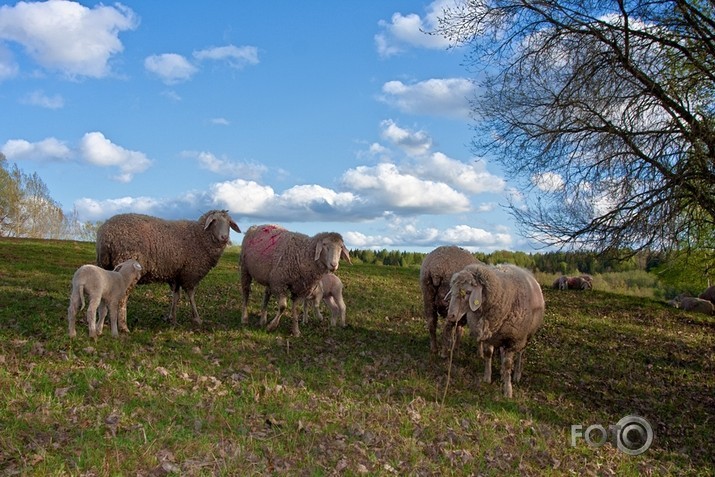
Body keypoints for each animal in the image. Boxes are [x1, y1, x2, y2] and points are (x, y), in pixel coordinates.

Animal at [95, 208, 242, 328]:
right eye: (214, 221)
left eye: (229, 222)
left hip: (107, 266)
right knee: (122, 297)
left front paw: (172, 318)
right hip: (127, 264)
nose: (224, 237)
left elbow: (176, 296)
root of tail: (106, 235)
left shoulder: (176, 274)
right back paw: (123, 326)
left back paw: (107, 320)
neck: (199, 236)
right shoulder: (190, 274)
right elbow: (191, 295)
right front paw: (197, 318)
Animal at [444, 262, 544, 396]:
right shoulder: (490, 336)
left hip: (525, 335)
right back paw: (502, 373)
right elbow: (488, 355)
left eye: (469, 292)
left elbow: (507, 364)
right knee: (502, 352)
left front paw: (508, 390)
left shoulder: (512, 339)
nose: (451, 315)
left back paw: (517, 375)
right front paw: (487, 378)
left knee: (520, 353)